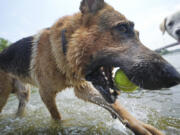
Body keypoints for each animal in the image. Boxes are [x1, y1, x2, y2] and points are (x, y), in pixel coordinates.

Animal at [0, 0, 180, 134]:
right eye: (122, 28)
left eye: (138, 34)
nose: (176, 75)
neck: (64, 49)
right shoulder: (46, 95)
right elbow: (58, 119)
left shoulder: (83, 89)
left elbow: (118, 107)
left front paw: (143, 127)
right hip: (3, 96)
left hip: (24, 95)